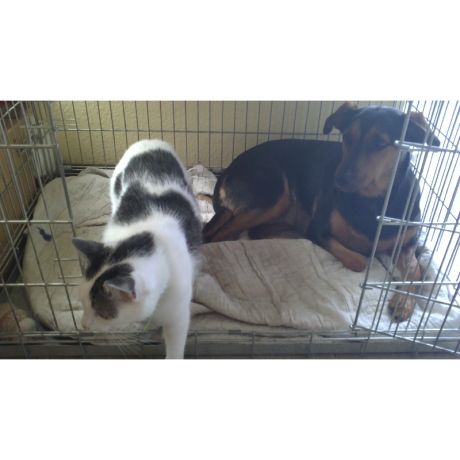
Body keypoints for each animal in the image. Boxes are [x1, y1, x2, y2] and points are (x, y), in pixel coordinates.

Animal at [72, 139, 202, 358]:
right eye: (82, 304)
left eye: (102, 314)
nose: (84, 326)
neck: (151, 238)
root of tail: (148, 140)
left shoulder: (178, 311)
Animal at [203, 103, 440, 321]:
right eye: (347, 137)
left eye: (379, 143)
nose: (339, 180)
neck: (374, 202)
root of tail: (227, 172)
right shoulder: (318, 229)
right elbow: (360, 261)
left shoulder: (406, 245)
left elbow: (416, 271)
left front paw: (404, 302)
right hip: (273, 195)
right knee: (216, 236)